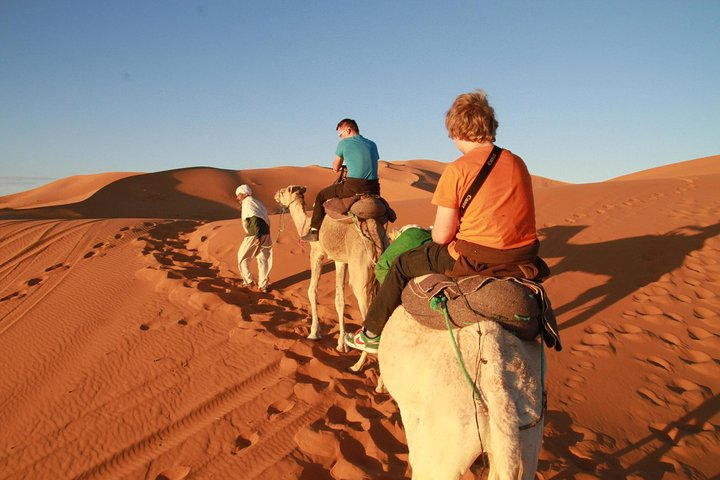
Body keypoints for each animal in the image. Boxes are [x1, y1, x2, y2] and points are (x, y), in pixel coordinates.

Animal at [272, 186, 386, 362]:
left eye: (284, 191)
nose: (276, 194)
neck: (306, 224)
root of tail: (375, 235)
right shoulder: (340, 260)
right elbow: (339, 300)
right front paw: (342, 344)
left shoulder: (317, 253)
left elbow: (312, 291)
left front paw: (314, 333)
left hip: (361, 274)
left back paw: (358, 363)